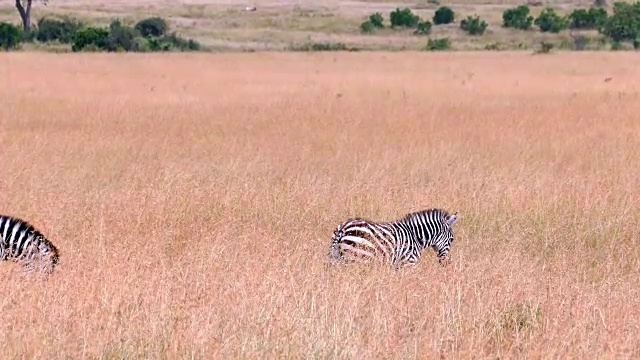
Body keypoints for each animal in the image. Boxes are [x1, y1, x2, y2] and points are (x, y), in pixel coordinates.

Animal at [328, 208, 458, 268]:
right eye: (452, 239)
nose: (445, 263)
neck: (416, 236)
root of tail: (343, 228)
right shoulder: (408, 263)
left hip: (337, 258)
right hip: (357, 258)